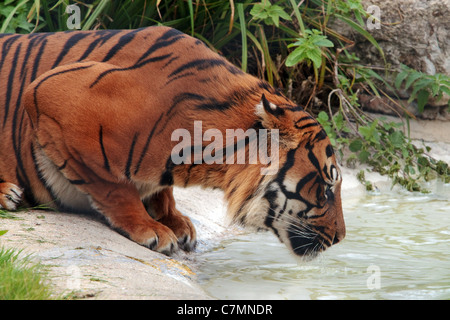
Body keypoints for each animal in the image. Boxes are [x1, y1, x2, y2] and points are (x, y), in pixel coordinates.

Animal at [0, 25, 344, 258]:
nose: (341, 237)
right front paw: (151, 229)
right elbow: (114, 186)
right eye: (327, 190)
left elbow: (162, 192)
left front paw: (176, 222)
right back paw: (8, 193)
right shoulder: (51, 93)